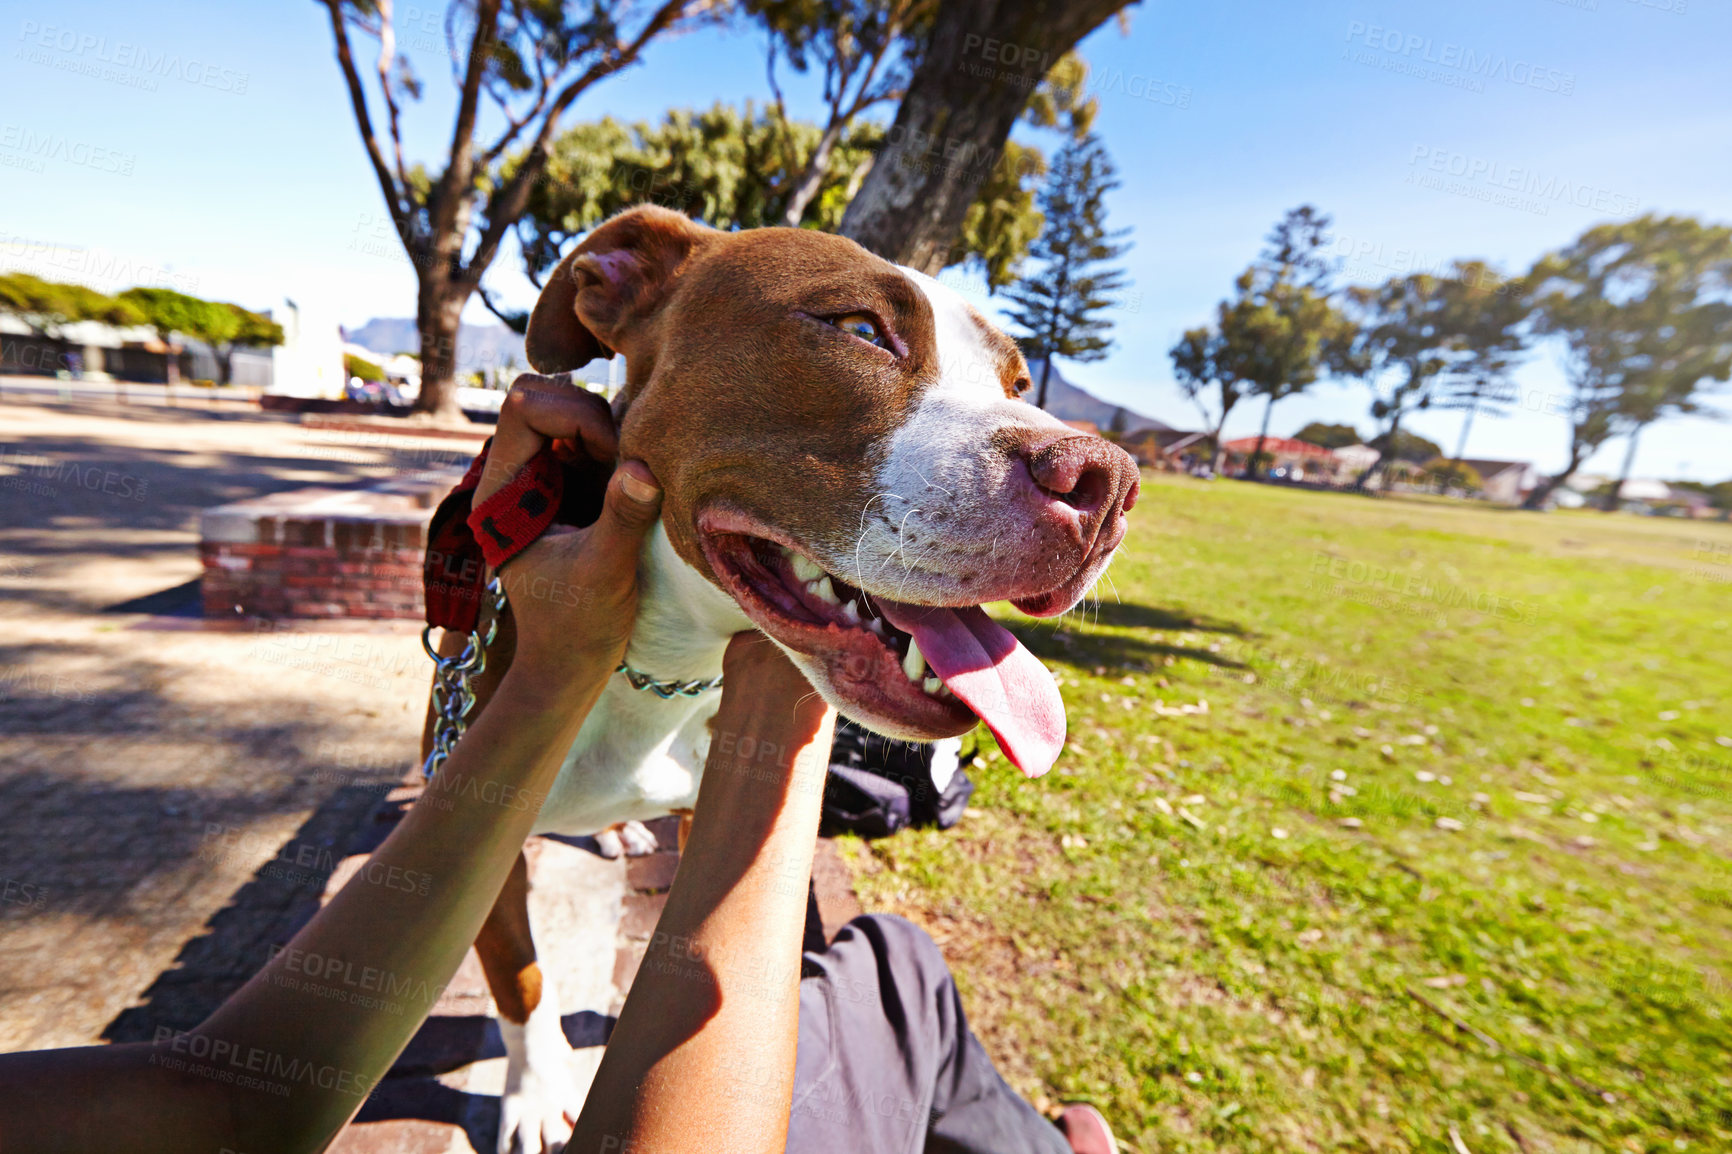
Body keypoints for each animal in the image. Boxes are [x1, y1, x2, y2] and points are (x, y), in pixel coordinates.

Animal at [422, 207, 1136, 1150]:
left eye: (1019, 382)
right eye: (860, 331)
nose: (1109, 483)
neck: (663, 664)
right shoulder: (476, 831)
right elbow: (522, 978)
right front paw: (535, 1092)